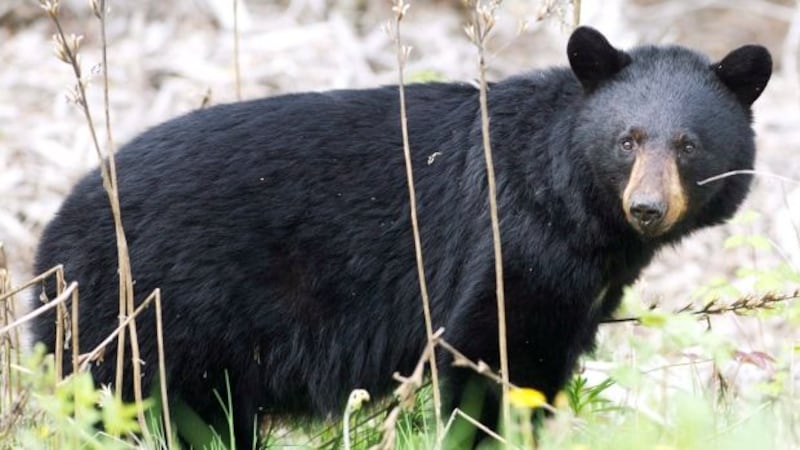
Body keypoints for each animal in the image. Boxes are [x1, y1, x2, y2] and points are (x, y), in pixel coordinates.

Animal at [30, 26, 772, 448]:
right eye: (627, 140)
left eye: (688, 145)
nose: (647, 207)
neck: (575, 211)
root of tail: (52, 235)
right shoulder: (509, 240)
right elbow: (493, 356)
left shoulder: (581, 280)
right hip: (143, 310)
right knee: (126, 401)